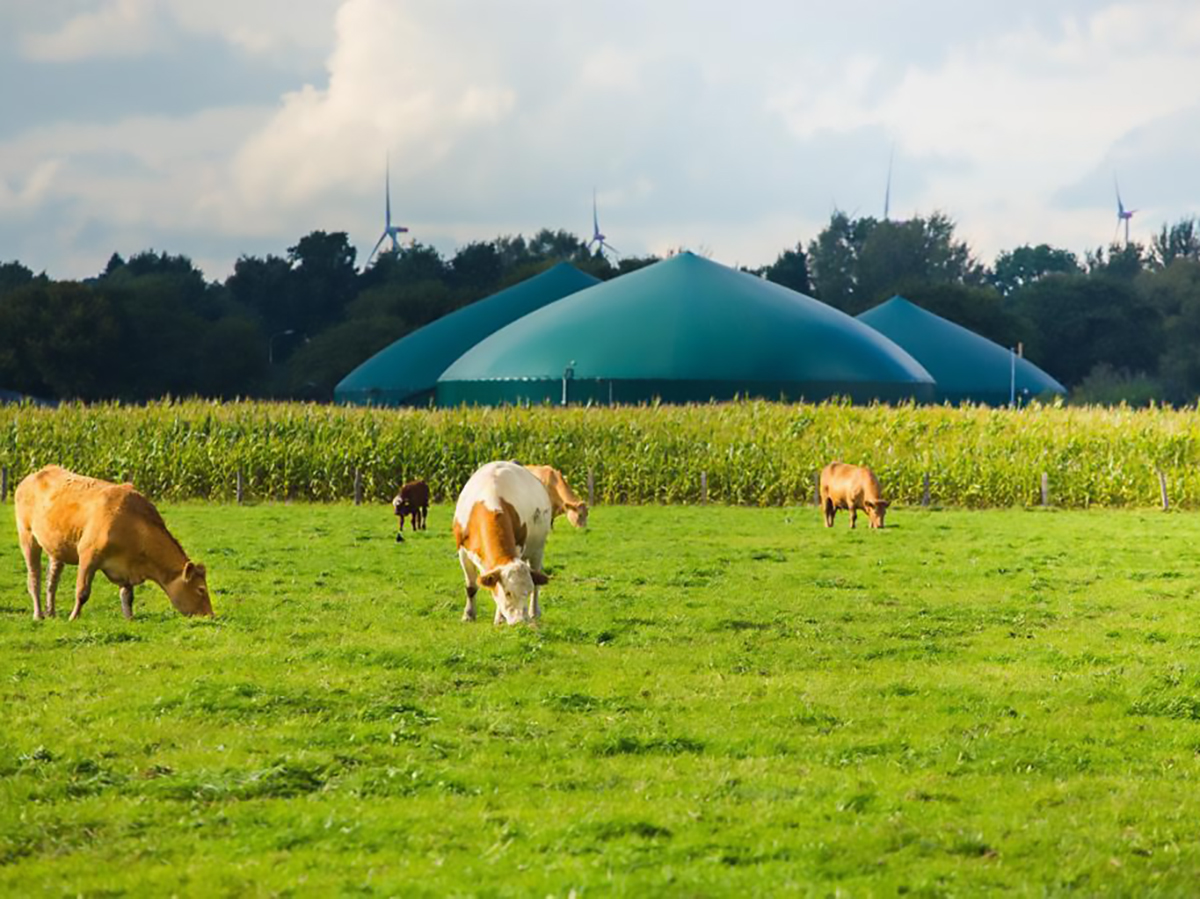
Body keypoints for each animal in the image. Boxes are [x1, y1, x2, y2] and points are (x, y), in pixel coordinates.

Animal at [14, 463, 213, 619]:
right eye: (201, 589)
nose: (211, 615)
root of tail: (35, 475)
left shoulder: (127, 566)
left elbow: (127, 596)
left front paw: (130, 619)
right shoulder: (88, 555)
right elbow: (82, 592)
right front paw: (74, 617)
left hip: (56, 546)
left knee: (52, 580)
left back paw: (52, 613)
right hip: (27, 537)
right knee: (34, 577)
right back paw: (39, 614)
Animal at [453, 458, 552, 619]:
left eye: (526, 592)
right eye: (508, 593)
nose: (520, 620)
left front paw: (499, 619)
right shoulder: (462, 552)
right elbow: (471, 586)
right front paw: (468, 615)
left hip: (538, 549)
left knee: (537, 581)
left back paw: (533, 611)